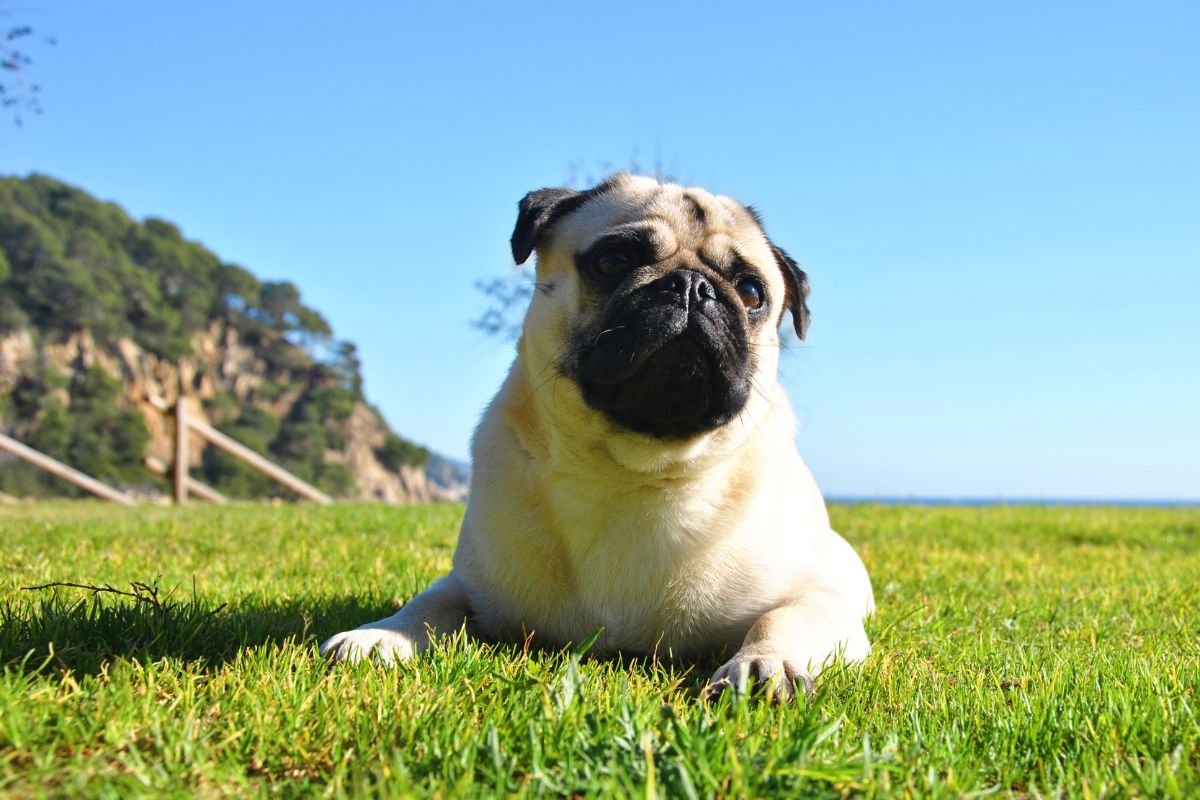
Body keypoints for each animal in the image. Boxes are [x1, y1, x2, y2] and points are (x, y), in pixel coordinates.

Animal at [319, 175, 878, 700]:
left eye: (751, 292)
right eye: (614, 261)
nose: (693, 286)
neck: (632, 470)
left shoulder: (821, 599)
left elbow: (780, 616)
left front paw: (764, 662)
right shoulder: (471, 585)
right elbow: (429, 602)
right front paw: (383, 635)